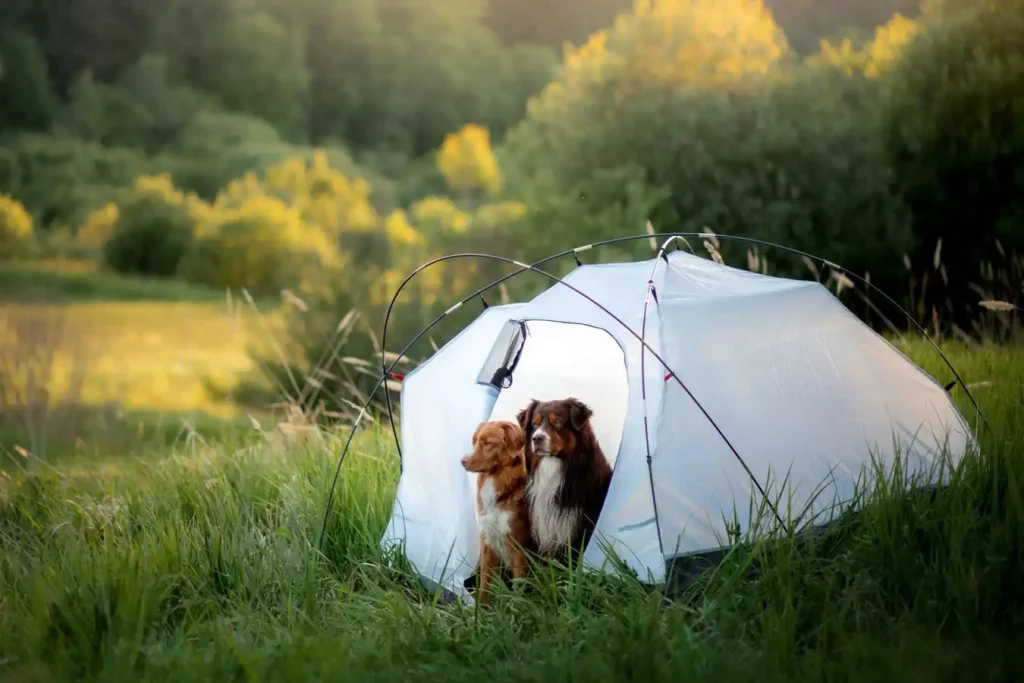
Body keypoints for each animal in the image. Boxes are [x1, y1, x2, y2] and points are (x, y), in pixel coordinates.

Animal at [460, 419, 532, 606]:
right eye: (474, 442)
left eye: (487, 443)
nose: (463, 461)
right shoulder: (487, 543)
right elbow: (485, 585)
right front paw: (481, 610)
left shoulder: (519, 549)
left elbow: (518, 589)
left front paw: (516, 610)